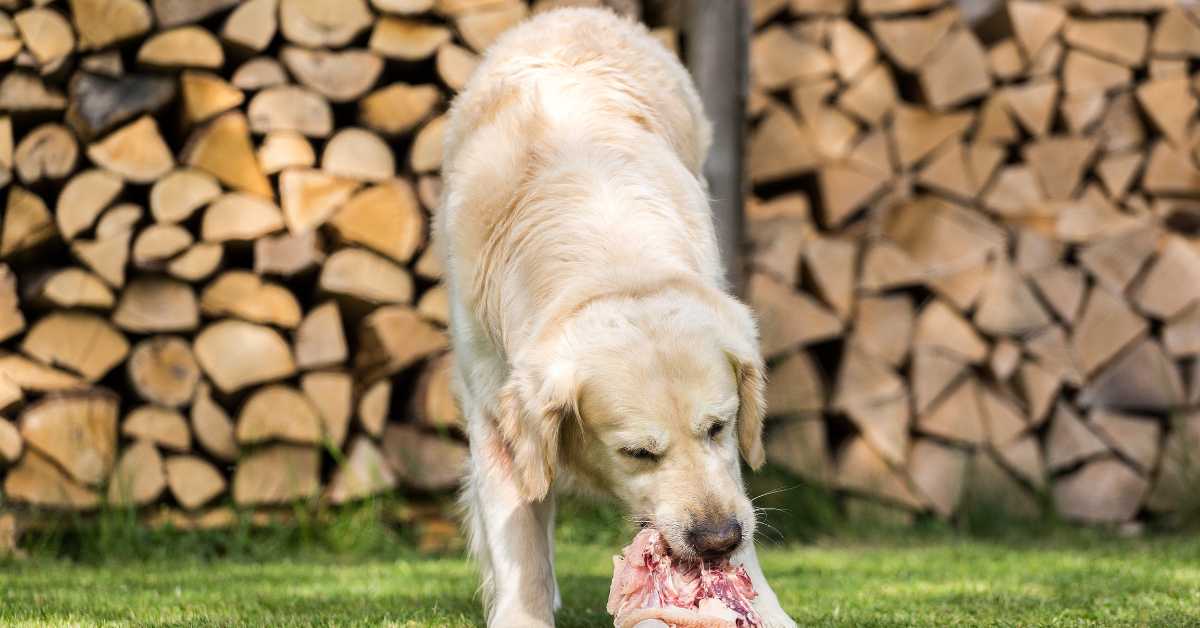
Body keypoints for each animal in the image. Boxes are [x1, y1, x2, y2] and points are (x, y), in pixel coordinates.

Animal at [439, 6, 796, 628]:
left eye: (719, 427)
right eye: (637, 453)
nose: (717, 539)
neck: (611, 258)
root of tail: (576, 13)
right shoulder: (495, 405)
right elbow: (518, 533)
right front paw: (524, 611)